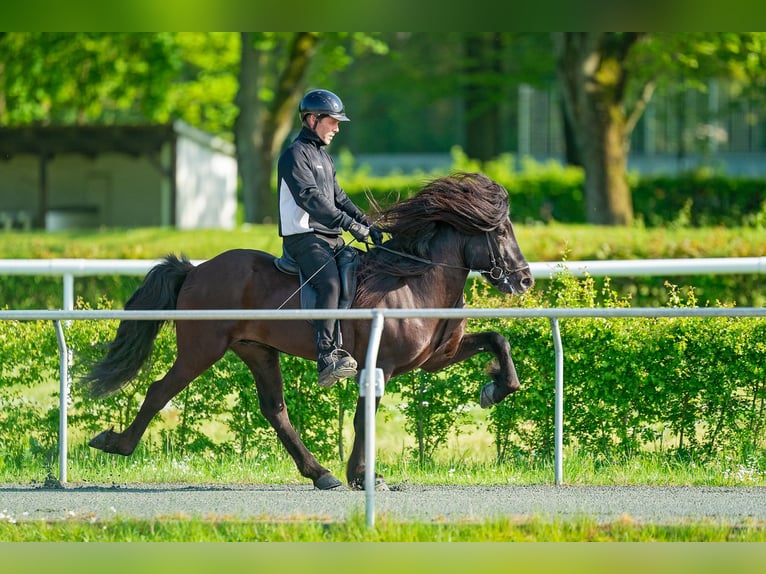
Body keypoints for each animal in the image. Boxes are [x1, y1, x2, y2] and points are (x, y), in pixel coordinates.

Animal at [82, 171, 536, 490]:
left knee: (275, 410)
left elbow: (498, 340)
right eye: (500, 231)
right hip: (201, 349)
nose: (525, 279)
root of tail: (195, 269)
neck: (414, 279)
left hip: (256, 349)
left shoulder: (436, 359)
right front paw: (362, 476)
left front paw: (496, 388)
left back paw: (319, 473)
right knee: (159, 390)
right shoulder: (381, 364)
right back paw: (116, 443)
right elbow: (363, 418)